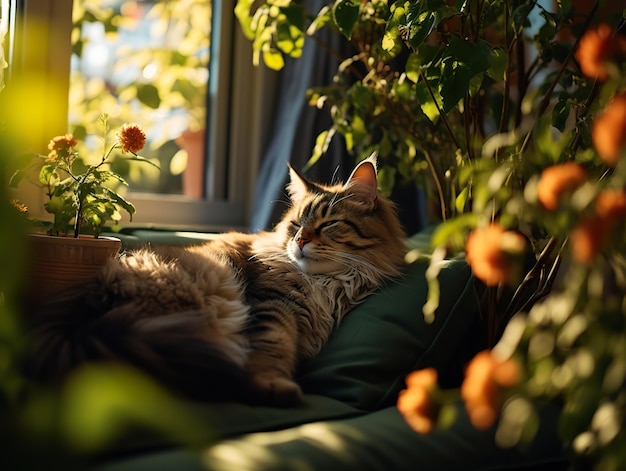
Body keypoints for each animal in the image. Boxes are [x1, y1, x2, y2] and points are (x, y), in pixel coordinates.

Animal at [28, 155, 404, 406]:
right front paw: (272, 387)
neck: (322, 284)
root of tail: (85, 323)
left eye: (328, 225)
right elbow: (272, 348)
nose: (299, 241)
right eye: (296, 225)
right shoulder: (272, 307)